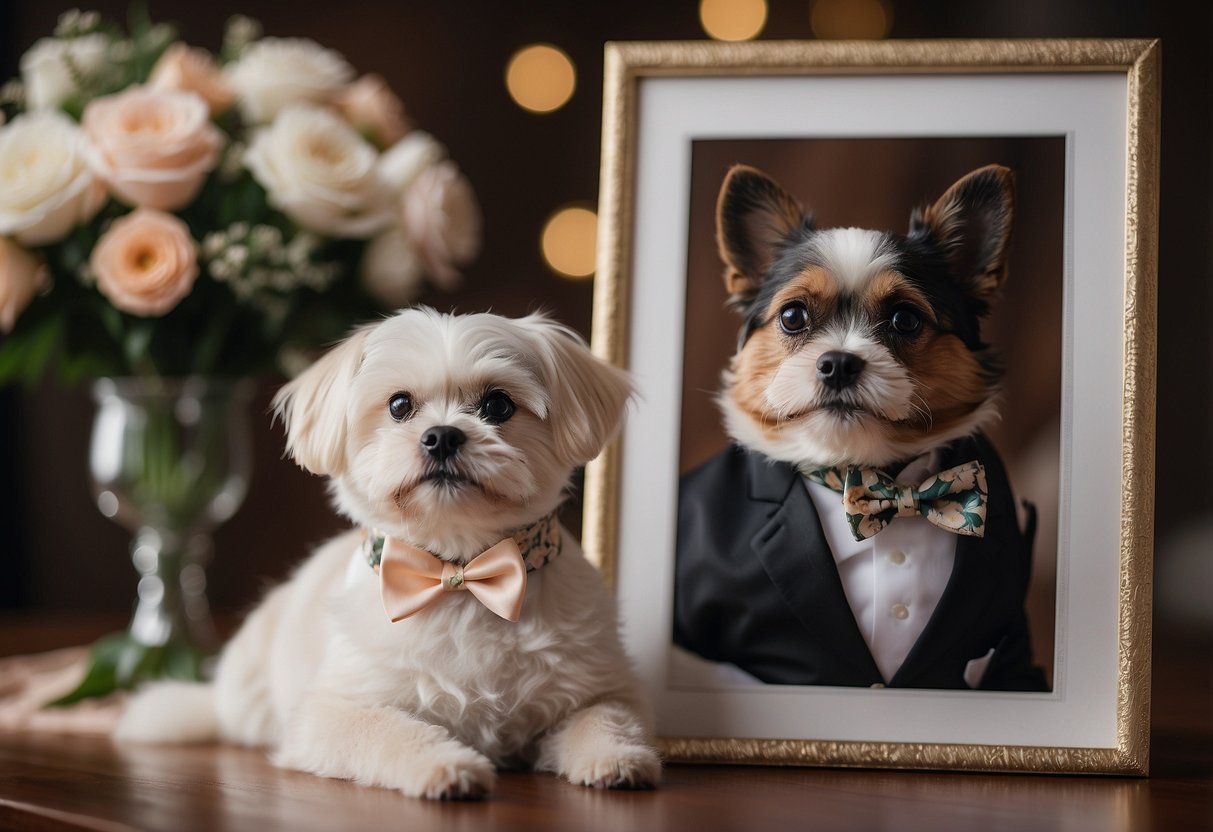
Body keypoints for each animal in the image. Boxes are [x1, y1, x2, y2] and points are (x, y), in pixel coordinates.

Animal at [115, 310, 664, 800]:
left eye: (498, 405)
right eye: (400, 405)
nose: (442, 435)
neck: (458, 573)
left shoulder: (603, 688)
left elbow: (605, 720)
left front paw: (617, 759)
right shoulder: (332, 711)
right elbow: (393, 733)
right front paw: (446, 766)